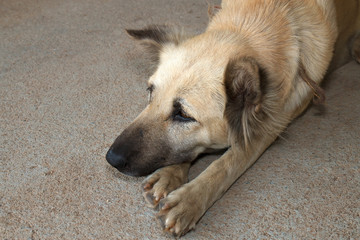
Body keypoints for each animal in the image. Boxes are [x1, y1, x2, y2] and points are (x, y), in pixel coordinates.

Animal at [106, 0, 360, 236]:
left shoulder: (268, 127)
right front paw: (171, 174)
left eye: (183, 115)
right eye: (150, 92)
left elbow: (227, 163)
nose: (111, 159)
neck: (259, 20)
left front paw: (189, 199)